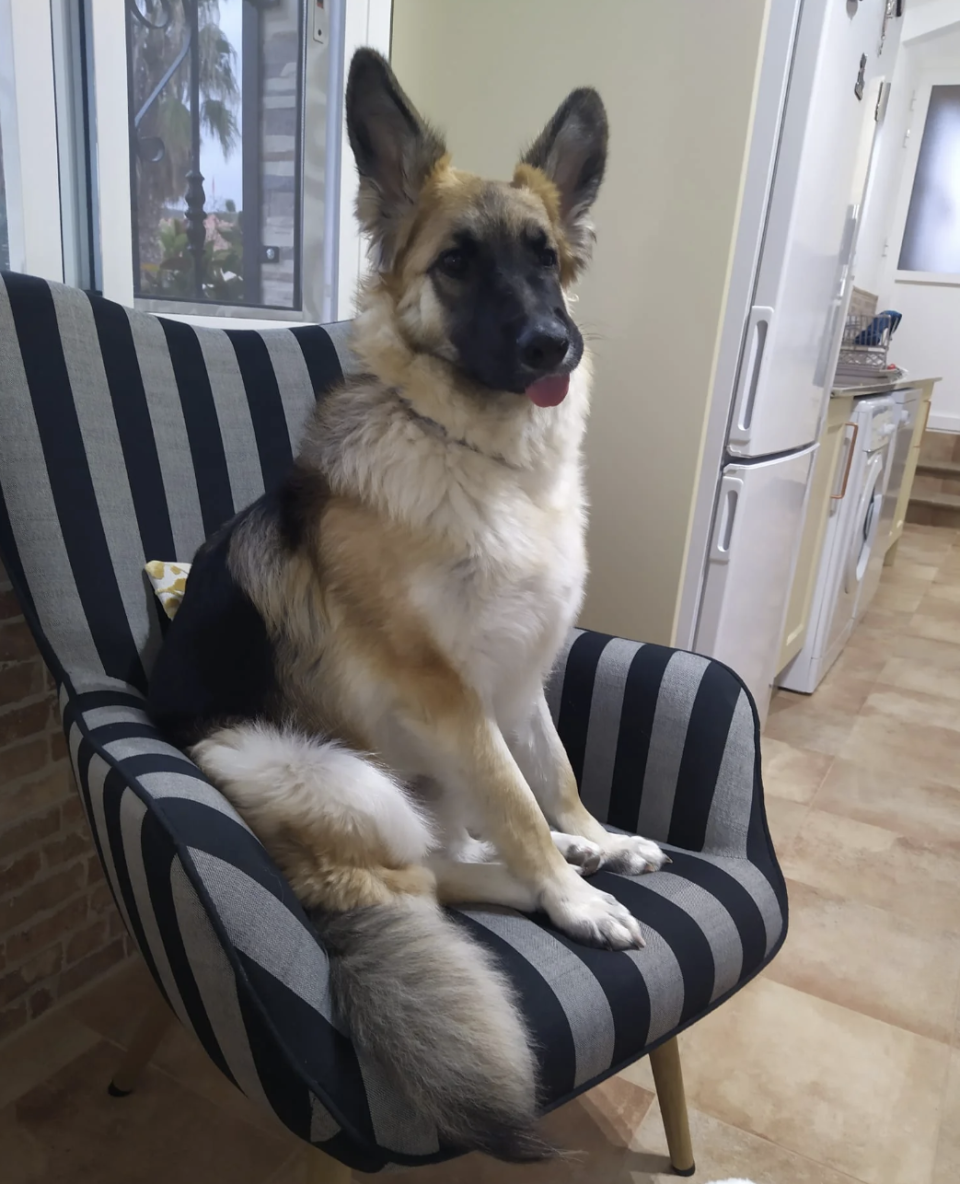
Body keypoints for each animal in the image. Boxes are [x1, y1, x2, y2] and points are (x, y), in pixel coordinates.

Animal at [146, 48, 662, 1165]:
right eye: (457, 263)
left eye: (547, 261)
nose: (553, 346)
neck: (479, 456)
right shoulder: (448, 693)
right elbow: (515, 799)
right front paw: (572, 897)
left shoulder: (517, 678)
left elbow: (549, 777)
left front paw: (590, 832)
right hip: (318, 770)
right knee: (434, 875)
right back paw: (561, 889)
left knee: (454, 849)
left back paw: (589, 852)